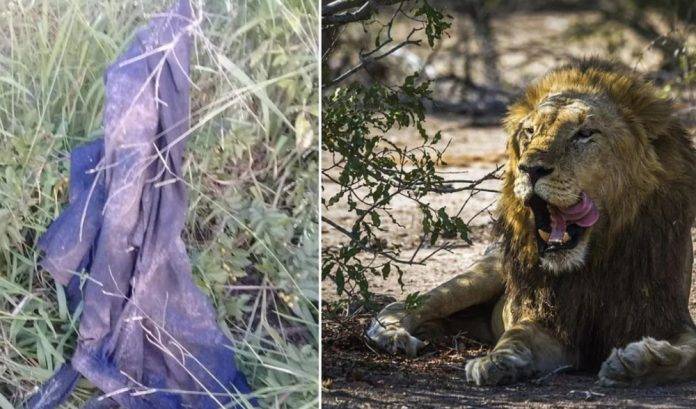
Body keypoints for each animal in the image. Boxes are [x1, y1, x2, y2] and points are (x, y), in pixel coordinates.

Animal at [367, 58, 696, 387]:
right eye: (529, 131)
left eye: (585, 133)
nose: (530, 169)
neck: (595, 261)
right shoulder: (550, 319)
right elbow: (518, 334)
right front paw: (497, 361)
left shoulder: (664, 315)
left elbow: (688, 353)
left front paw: (637, 361)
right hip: (484, 274)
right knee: (407, 304)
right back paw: (394, 335)